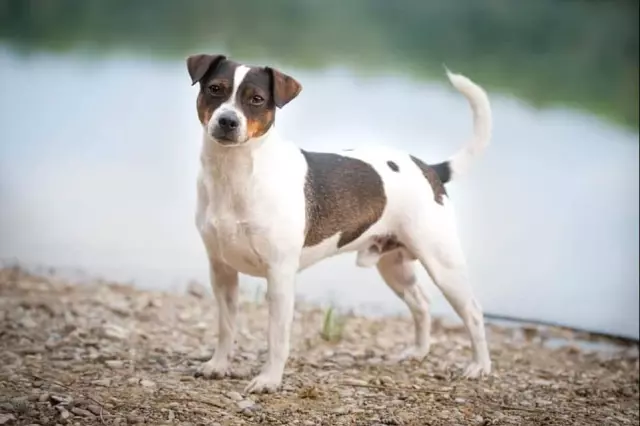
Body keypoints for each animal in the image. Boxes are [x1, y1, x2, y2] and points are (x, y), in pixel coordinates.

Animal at [188, 54, 492, 396]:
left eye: (256, 99)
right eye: (215, 89)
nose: (228, 121)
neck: (237, 175)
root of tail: (430, 168)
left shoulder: (280, 276)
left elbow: (276, 337)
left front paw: (269, 380)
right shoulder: (222, 271)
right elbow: (226, 326)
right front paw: (219, 365)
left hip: (443, 265)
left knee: (473, 312)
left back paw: (480, 367)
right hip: (394, 266)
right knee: (421, 305)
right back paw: (418, 352)